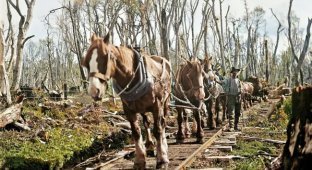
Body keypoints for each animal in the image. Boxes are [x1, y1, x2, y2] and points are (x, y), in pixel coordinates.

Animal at [81, 33, 172, 169]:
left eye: (106, 57)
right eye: (86, 61)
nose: (93, 90)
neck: (133, 76)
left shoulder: (157, 106)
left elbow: (158, 130)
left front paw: (162, 160)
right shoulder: (128, 109)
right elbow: (136, 132)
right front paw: (139, 160)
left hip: (165, 102)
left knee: (163, 123)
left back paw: (164, 147)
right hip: (141, 107)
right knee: (146, 122)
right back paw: (150, 146)